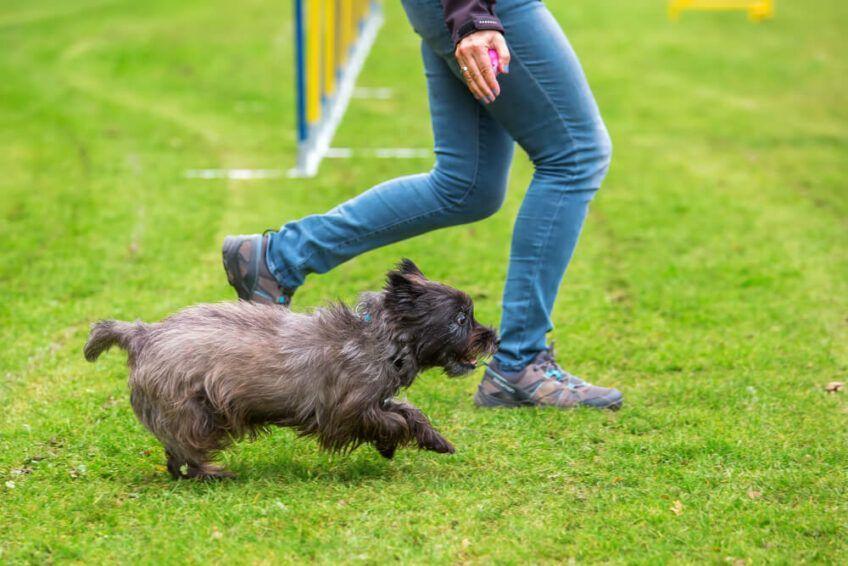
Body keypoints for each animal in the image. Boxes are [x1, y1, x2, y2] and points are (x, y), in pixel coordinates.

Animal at [83, 260, 496, 480]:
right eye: (460, 319)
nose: (492, 336)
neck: (378, 337)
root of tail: (142, 335)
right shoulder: (343, 411)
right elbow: (391, 420)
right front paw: (391, 441)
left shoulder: (372, 399)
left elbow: (409, 411)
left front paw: (434, 439)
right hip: (196, 413)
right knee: (188, 447)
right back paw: (213, 473)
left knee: (174, 453)